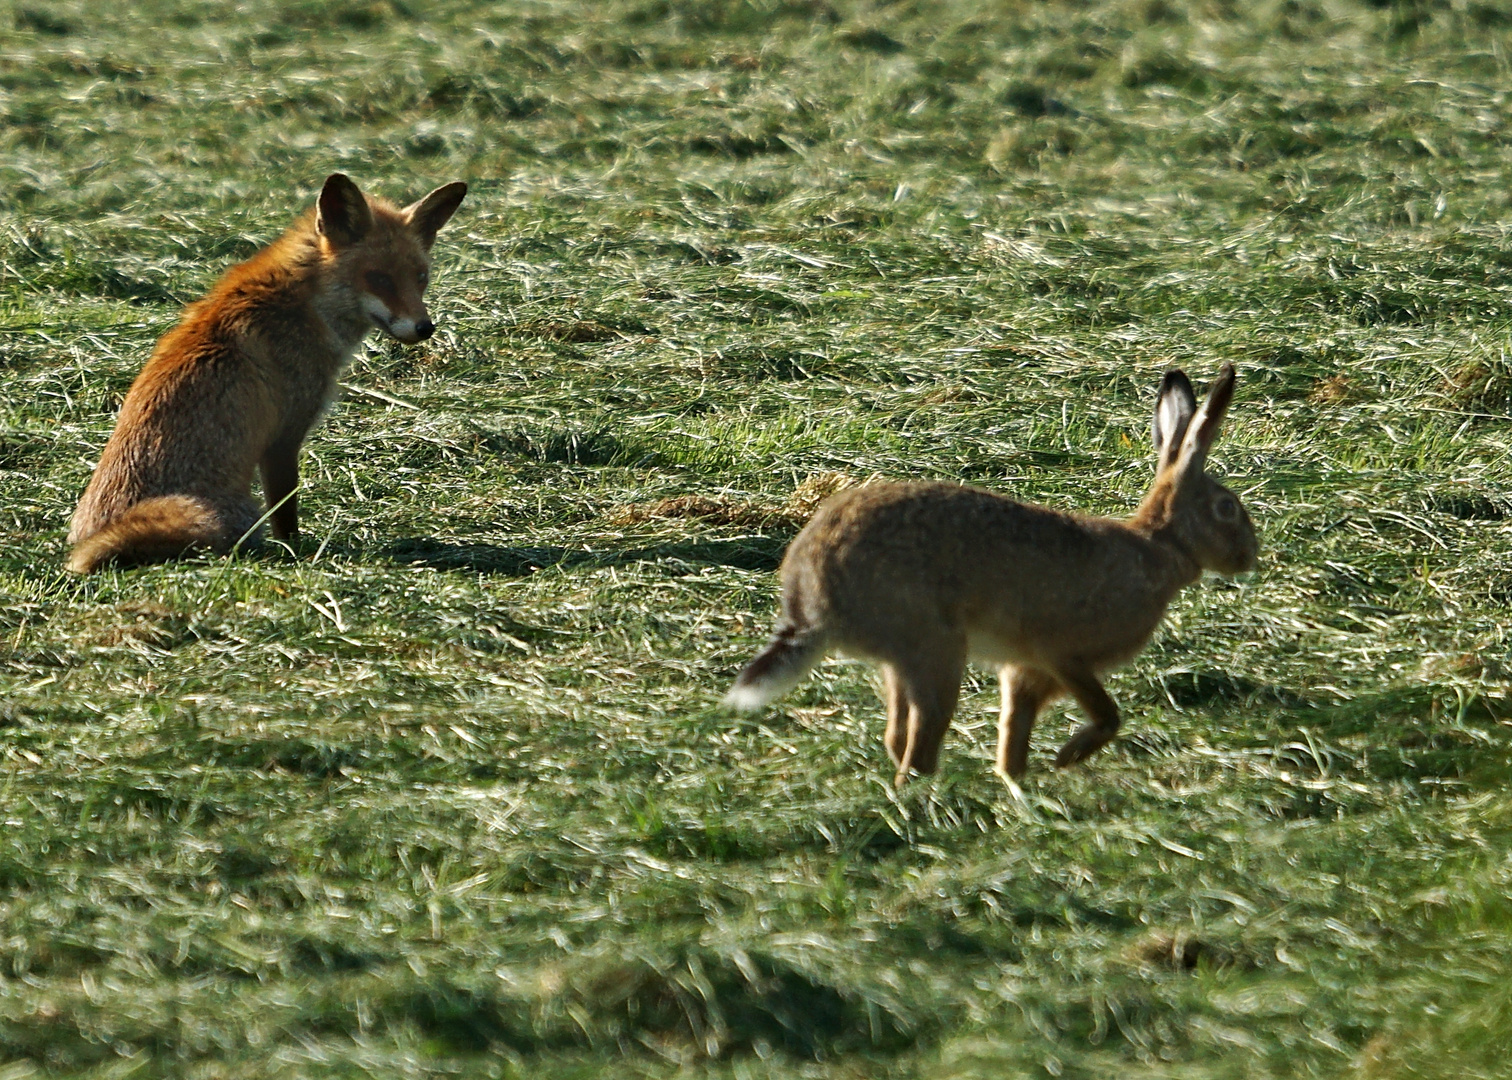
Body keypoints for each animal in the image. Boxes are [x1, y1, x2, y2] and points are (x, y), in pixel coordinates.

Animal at [66, 172, 465, 571]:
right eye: (379, 278)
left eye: (421, 277)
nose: (425, 328)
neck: (305, 304)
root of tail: (90, 536)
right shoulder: (283, 437)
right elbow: (286, 512)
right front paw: (297, 551)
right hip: (225, 516)